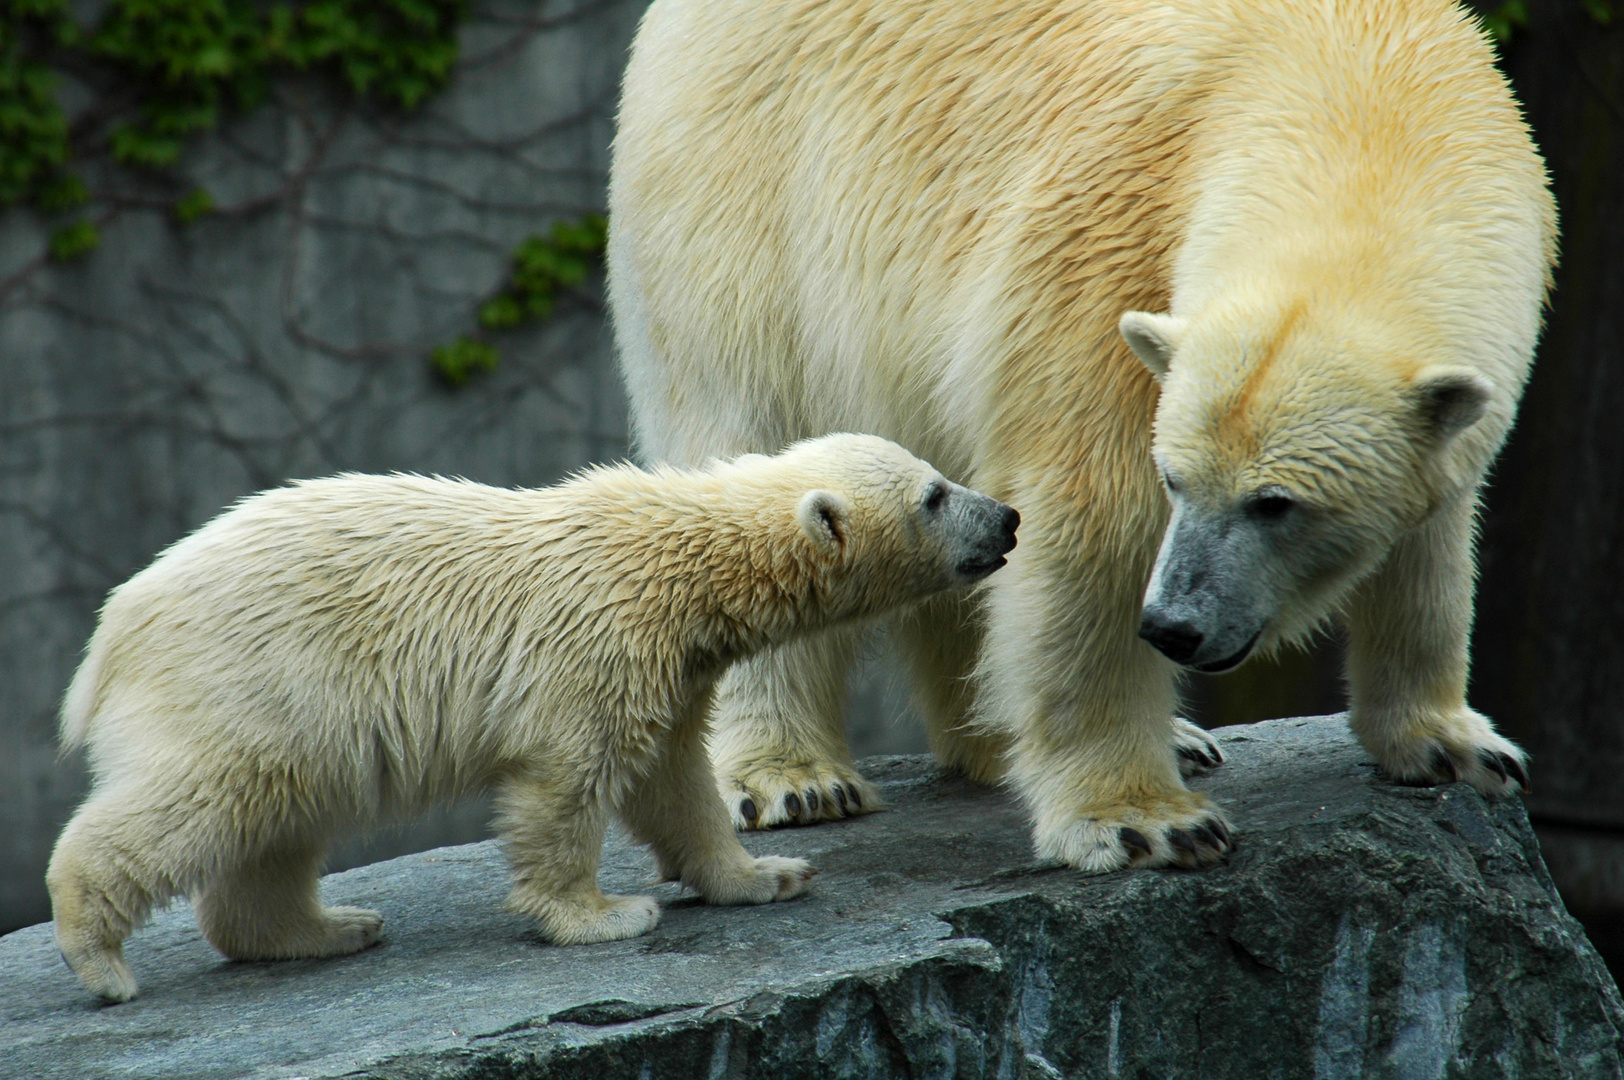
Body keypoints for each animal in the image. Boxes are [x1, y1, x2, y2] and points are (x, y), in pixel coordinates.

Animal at [607, 0, 1546, 870]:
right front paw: (1145, 822)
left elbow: (1432, 533)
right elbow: (1095, 518)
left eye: (1277, 504)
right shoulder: (1110, 251)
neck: (1357, 98)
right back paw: (794, 776)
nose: (1175, 627)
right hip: (742, 209)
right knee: (754, 429)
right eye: (1175, 480)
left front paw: (1457, 746)